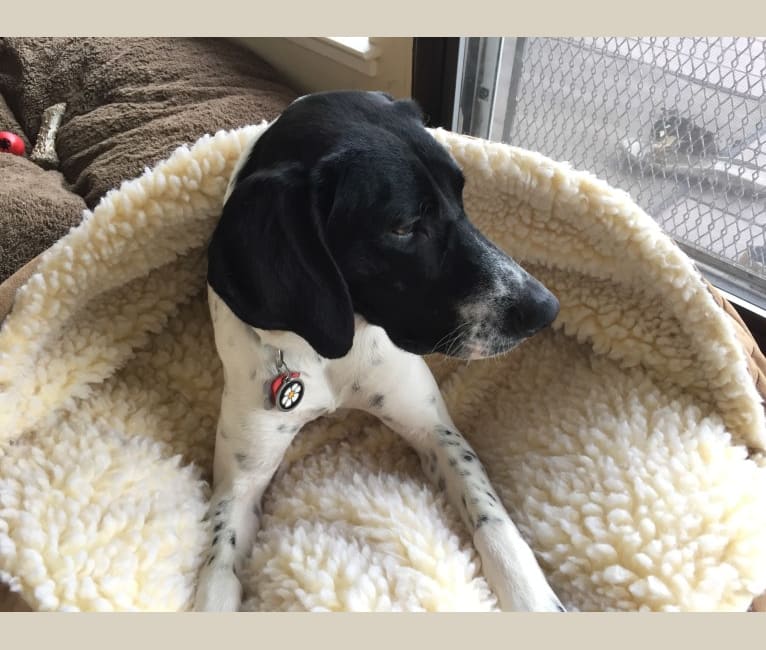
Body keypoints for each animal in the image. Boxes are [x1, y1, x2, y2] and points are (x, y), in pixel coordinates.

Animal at [195, 90, 565, 612]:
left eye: (460, 196)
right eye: (405, 227)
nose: (545, 308)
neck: (331, 357)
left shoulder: (435, 430)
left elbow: (492, 518)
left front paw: (529, 594)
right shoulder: (239, 484)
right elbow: (218, 566)